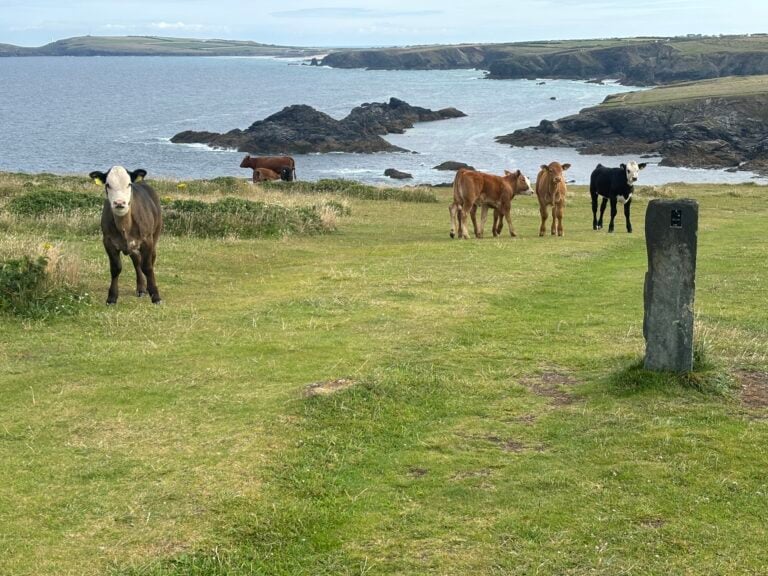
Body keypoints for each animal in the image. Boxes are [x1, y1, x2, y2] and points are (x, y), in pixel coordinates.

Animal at [89, 166, 163, 305]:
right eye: (108, 184)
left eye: (129, 184)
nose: (119, 202)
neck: (125, 226)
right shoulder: (108, 241)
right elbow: (116, 268)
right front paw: (112, 297)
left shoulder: (147, 240)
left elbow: (147, 267)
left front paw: (155, 296)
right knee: (137, 261)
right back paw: (141, 288)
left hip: (155, 233)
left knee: (151, 259)